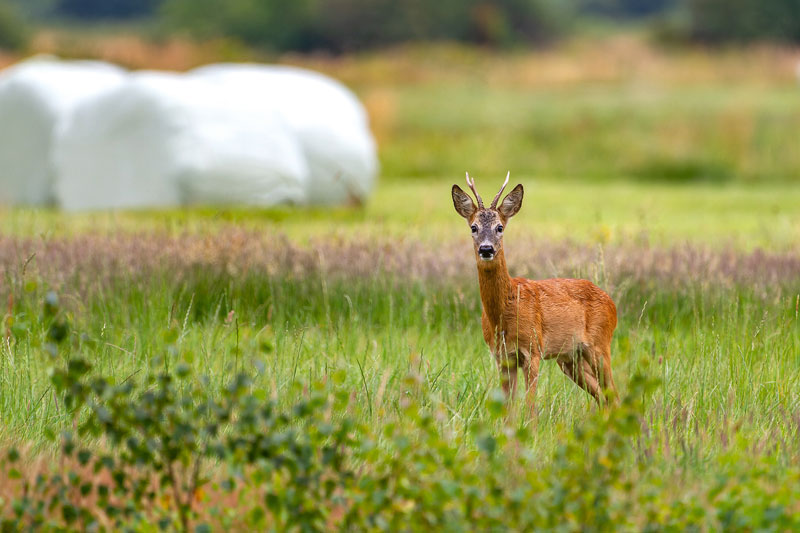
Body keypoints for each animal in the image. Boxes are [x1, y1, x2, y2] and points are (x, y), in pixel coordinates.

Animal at [450, 172, 620, 414]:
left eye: (499, 227)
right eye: (473, 227)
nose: (486, 249)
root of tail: (611, 303)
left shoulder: (533, 349)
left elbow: (530, 406)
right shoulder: (502, 357)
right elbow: (508, 408)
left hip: (600, 345)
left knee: (614, 393)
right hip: (570, 359)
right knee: (602, 396)